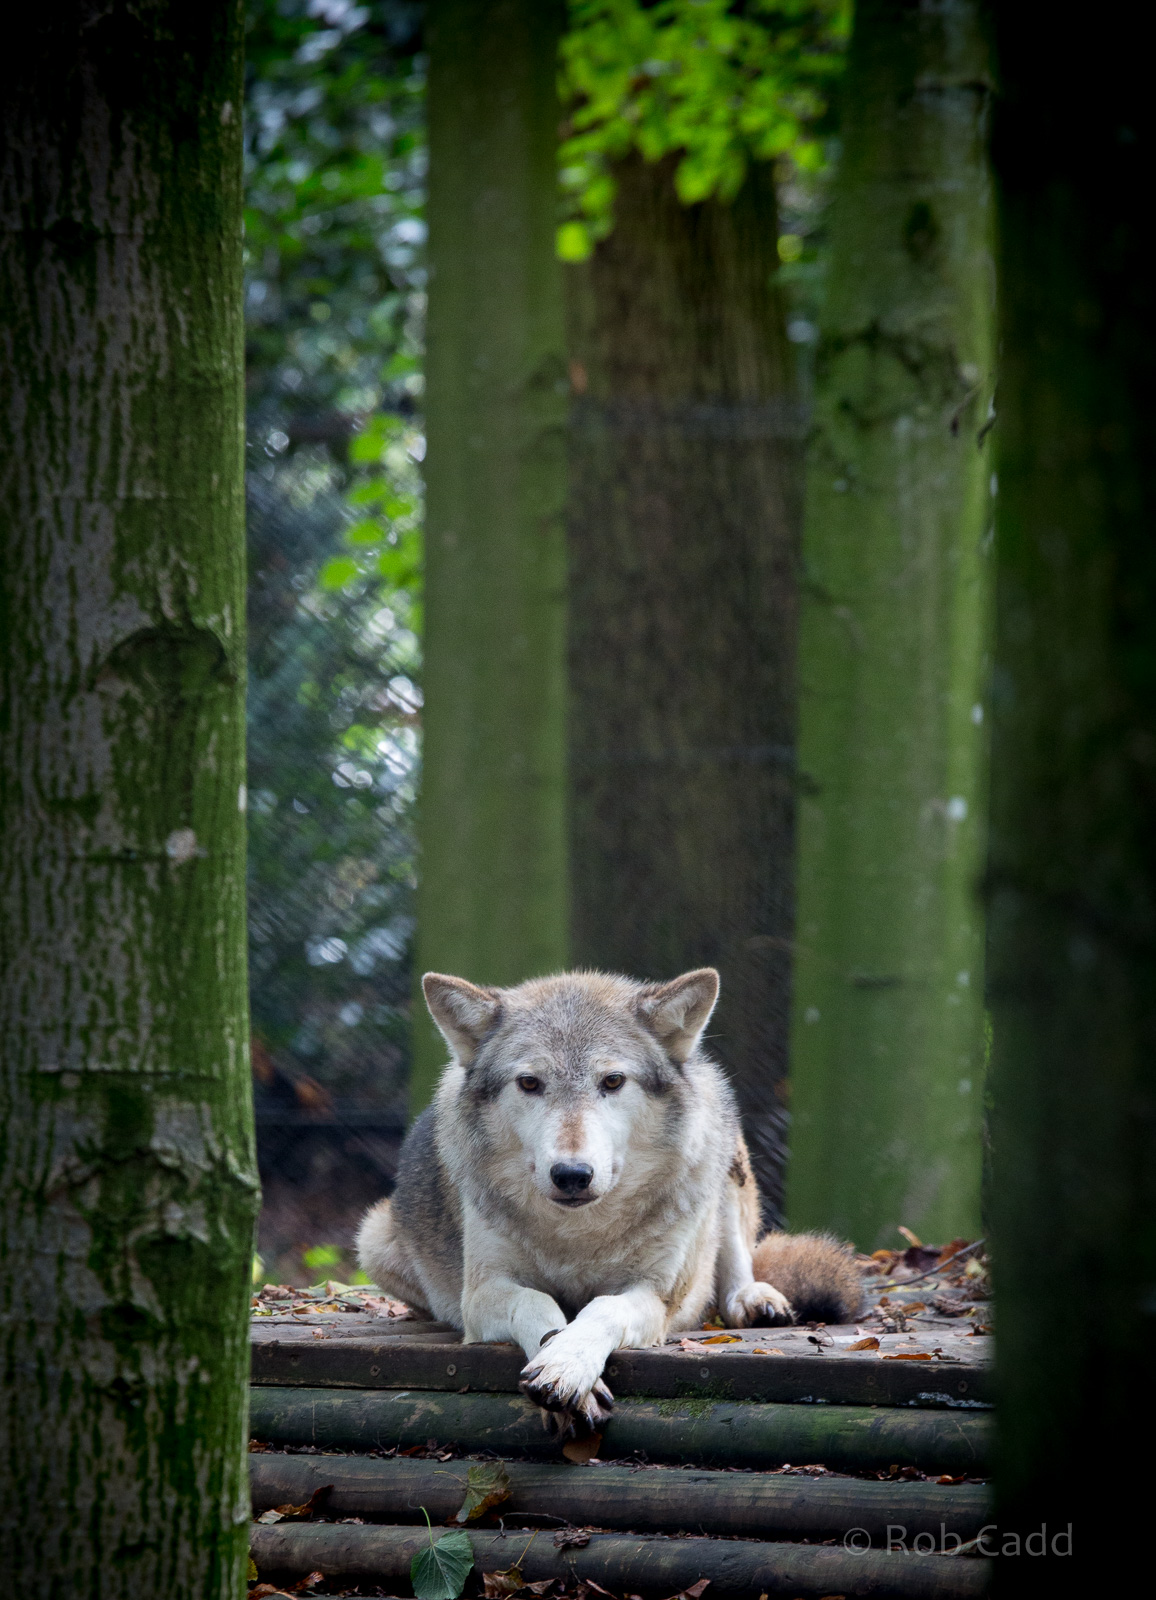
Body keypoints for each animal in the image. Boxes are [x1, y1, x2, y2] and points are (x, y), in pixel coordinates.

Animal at [358, 967, 861, 1434]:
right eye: (529, 1083)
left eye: (613, 1081)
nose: (572, 1175)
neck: (579, 1234)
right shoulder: (482, 1293)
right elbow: (537, 1303)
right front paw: (561, 1367)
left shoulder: (653, 1295)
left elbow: (602, 1308)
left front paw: (566, 1363)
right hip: (374, 1239)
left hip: (722, 1152)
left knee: (735, 1262)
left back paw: (755, 1299)